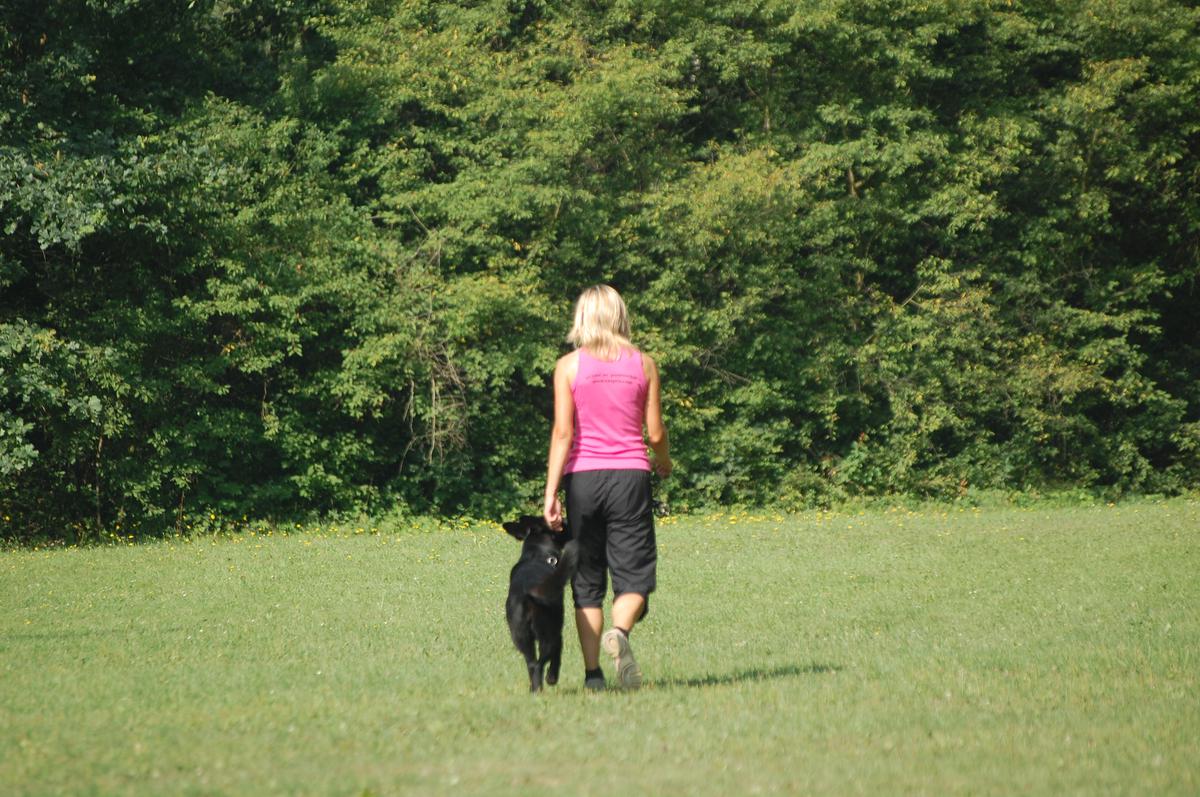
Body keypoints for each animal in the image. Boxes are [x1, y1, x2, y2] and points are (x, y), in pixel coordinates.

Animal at [501, 516, 576, 691]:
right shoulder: (557, 630)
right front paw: (552, 677)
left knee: (531, 663)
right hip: (549, 632)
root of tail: (528, 592)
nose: (567, 520)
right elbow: (558, 653)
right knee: (543, 660)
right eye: (562, 525)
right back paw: (548, 680)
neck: (537, 555)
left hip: (519, 634)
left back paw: (535, 689)